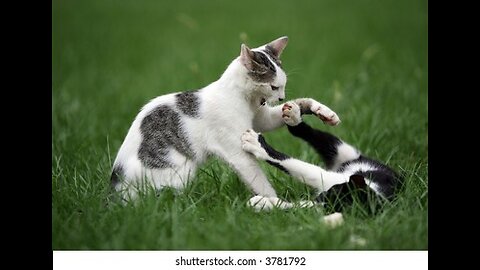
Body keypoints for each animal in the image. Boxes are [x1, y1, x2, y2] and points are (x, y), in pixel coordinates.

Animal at [110, 36, 340, 200]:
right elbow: (259, 180)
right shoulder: (237, 151)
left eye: (283, 86)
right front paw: (272, 202)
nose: (281, 97)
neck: (244, 99)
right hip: (178, 173)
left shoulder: (262, 118)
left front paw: (321, 111)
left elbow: (295, 106)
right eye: (274, 87)